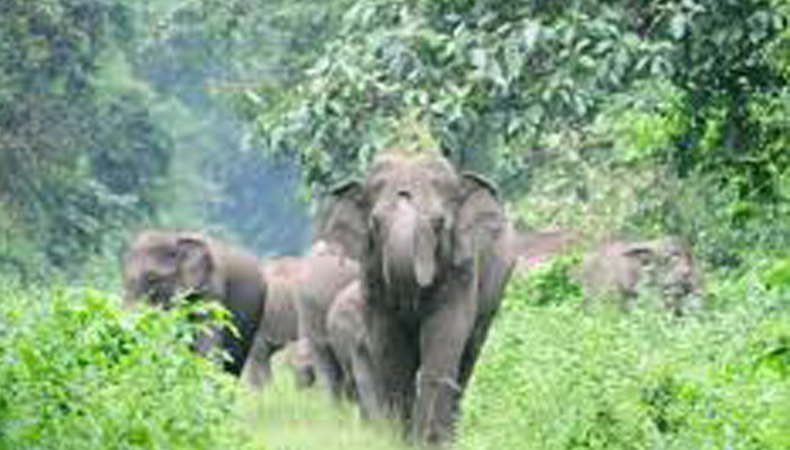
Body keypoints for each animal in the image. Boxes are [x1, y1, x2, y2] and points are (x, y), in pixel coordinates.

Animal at [318, 149, 516, 444]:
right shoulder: (372, 273)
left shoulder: (462, 269)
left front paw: (431, 442)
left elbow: (445, 335)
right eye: (375, 223)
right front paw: (401, 439)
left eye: (439, 223)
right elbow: (391, 347)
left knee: (469, 353)